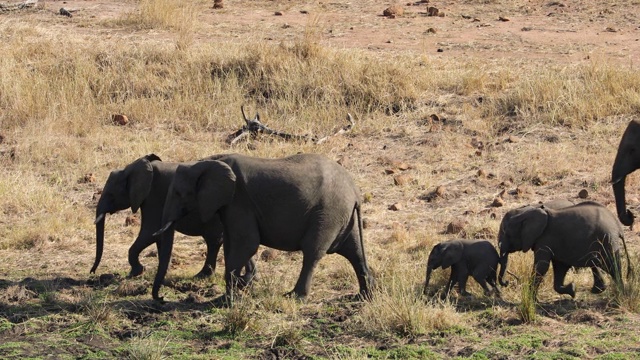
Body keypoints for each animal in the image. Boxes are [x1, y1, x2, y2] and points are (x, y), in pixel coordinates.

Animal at [90, 153, 255, 280]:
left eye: (111, 195)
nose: (92, 273)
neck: (132, 168)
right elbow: (158, 236)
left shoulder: (153, 197)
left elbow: (149, 232)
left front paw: (135, 273)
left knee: (214, 241)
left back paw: (203, 276)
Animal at [152, 153, 372, 302]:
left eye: (179, 193)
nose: (161, 299)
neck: (207, 161)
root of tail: (355, 192)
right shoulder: (231, 206)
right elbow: (233, 244)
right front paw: (240, 287)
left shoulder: (239, 201)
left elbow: (247, 244)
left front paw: (228, 300)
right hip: (342, 215)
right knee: (354, 252)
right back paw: (365, 296)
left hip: (327, 213)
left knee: (313, 252)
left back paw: (294, 297)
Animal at [498, 200, 628, 298]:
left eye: (506, 232)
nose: (507, 283)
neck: (527, 211)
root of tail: (618, 226)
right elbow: (559, 268)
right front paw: (573, 290)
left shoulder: (544, 239)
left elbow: (542, 266)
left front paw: (530, 300)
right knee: (598, 263)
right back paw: (600, 290)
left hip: (607, 240)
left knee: (612, 267)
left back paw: (621, 294)